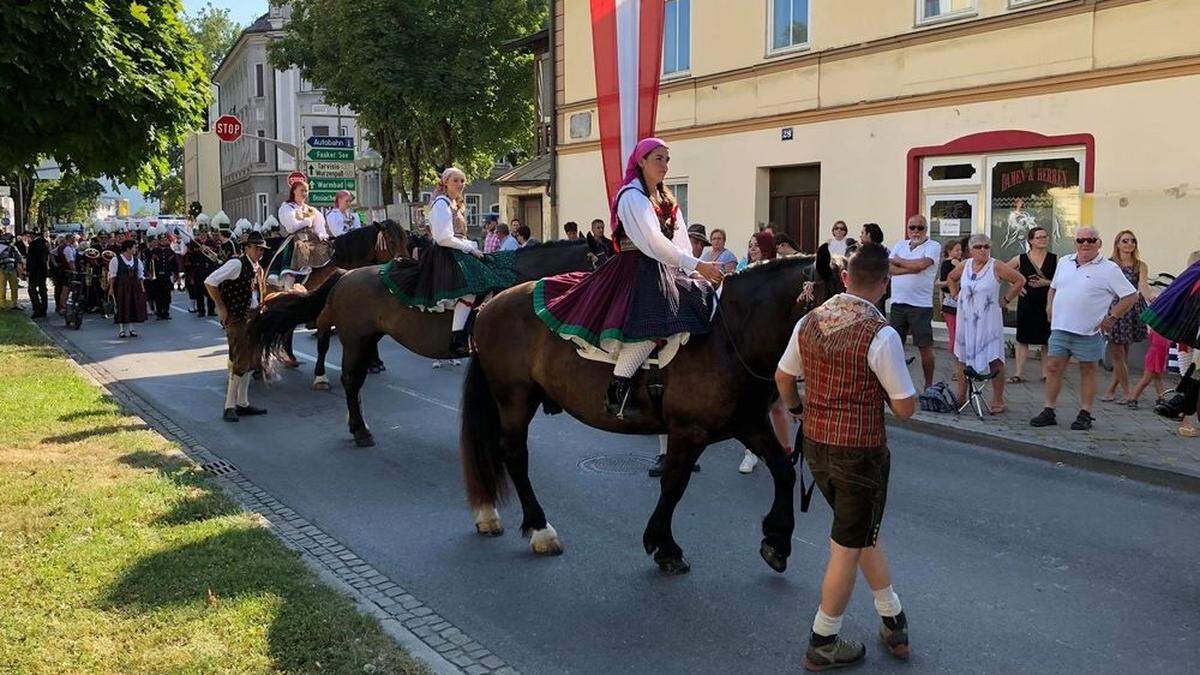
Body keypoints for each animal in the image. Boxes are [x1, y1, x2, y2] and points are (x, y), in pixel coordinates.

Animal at [256, 239, 604, 444]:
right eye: (604, 261)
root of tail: (344, 274)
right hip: (354, 339)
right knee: (350, 380)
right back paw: (359, 429)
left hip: (366, 338)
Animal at [453, 252, 840, 571]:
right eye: (831, 318)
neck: (731, 337)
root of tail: (491, 304)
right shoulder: (689, 432)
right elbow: (674, 484)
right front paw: (665, 546)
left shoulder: (749, 424)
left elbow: (783, 470)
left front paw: (777, 541)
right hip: (514, 399)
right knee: (514, 455)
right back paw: (540, 529)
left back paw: (490, 514)